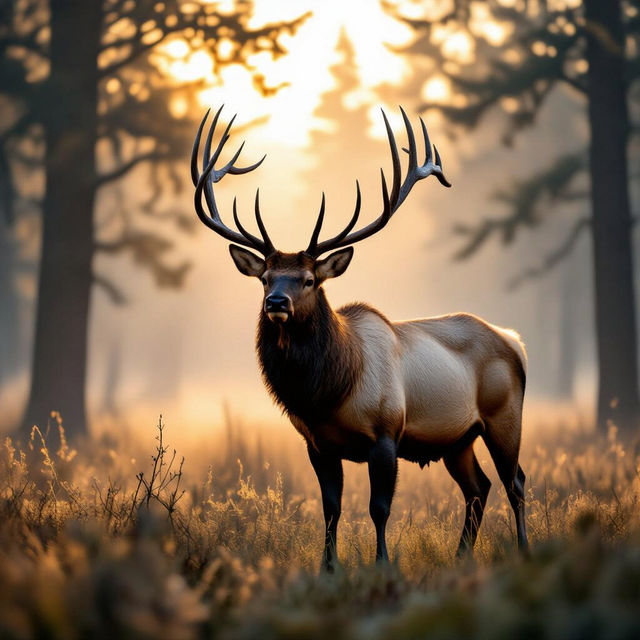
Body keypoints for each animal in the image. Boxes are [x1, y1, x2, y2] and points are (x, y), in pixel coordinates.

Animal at [191, 106, 529, 570]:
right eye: (265, 278)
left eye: (309, 279)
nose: (276, 302)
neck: (328, 392)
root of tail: (515, 342)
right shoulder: (317, 443)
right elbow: (331, 508)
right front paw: (327, 568)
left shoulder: (386, 433)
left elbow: (379, 508)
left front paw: (382, 564)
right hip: (456, 439)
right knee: (478, 487)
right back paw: (461, 557)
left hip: (504, 416)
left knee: (515, 482)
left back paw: (525, 550)